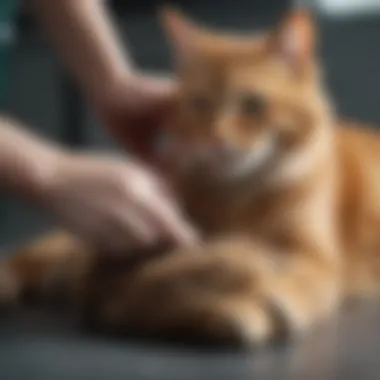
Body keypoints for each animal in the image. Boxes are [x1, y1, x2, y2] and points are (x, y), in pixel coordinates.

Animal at [0, 8, 380, 348]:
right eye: (200, 104)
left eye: (253, 104)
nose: (217, 138)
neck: (236, 198)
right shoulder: (121, 266)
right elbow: (171, 280)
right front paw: (237, 288)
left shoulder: (319, 260)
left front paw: (253, 300)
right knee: (30, 259)